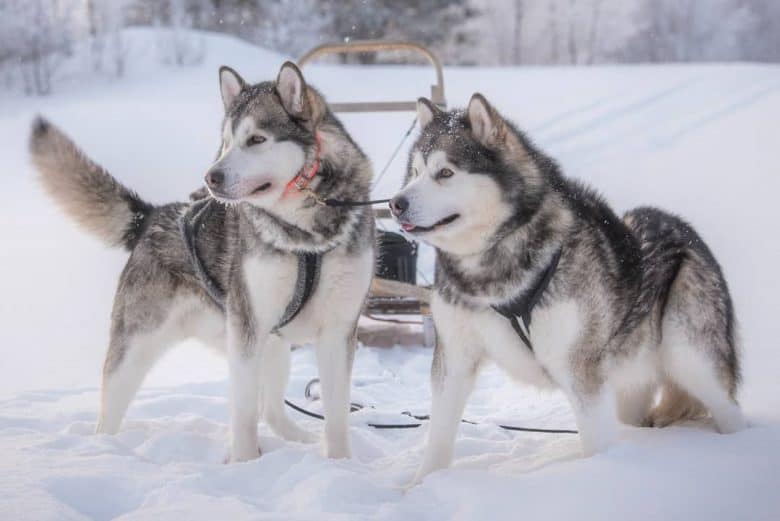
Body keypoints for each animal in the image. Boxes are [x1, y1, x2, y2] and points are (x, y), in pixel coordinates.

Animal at [32, 62, 380, 460]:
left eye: (256, 139)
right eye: (226, 142)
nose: (211, 177)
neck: (304, 234)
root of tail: (152, 216)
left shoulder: (337, 330)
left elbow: (336, 413)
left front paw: (340, 463)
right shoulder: (246, 329)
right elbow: (243, 412)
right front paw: (244, 463)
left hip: (275, 346)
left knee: (272, 410)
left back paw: (298, 438)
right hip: (138, 347)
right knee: (110, 408)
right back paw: (105, 448)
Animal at [390, 94, 744, 484]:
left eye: (445, 173)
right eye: (415, 172)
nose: (395, 203)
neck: (490, 274)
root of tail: (685, 229)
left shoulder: (579, 370)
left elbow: (596, 442)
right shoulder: (454, 358)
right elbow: (438, 435)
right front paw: (419, 485)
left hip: (691, 358)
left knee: (728, 408)